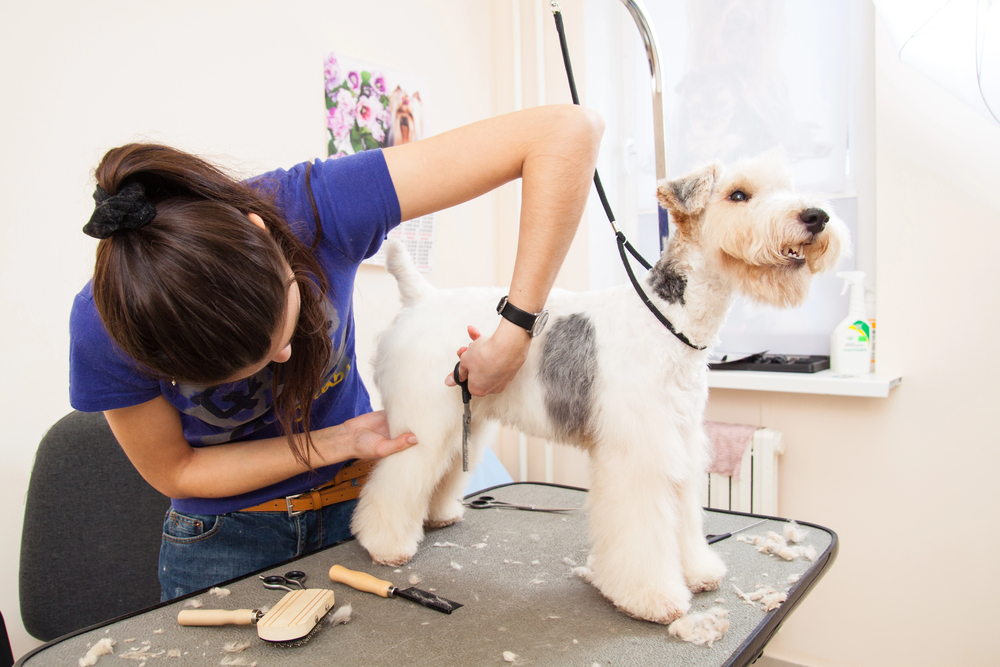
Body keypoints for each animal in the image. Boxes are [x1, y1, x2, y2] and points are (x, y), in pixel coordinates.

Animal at [356, 154, 848, 624]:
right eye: (738, 194)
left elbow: (685, 519)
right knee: (396, 481)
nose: (817, 216)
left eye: (785, 185)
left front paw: (698, 571)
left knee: (440, 473)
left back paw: (438, 515)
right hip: (422, 422)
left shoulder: (682, 444)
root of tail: (421, 297)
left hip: (467, 422)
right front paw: (652, 598)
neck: (670, 320)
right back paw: (385, 544)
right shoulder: (641, 454)